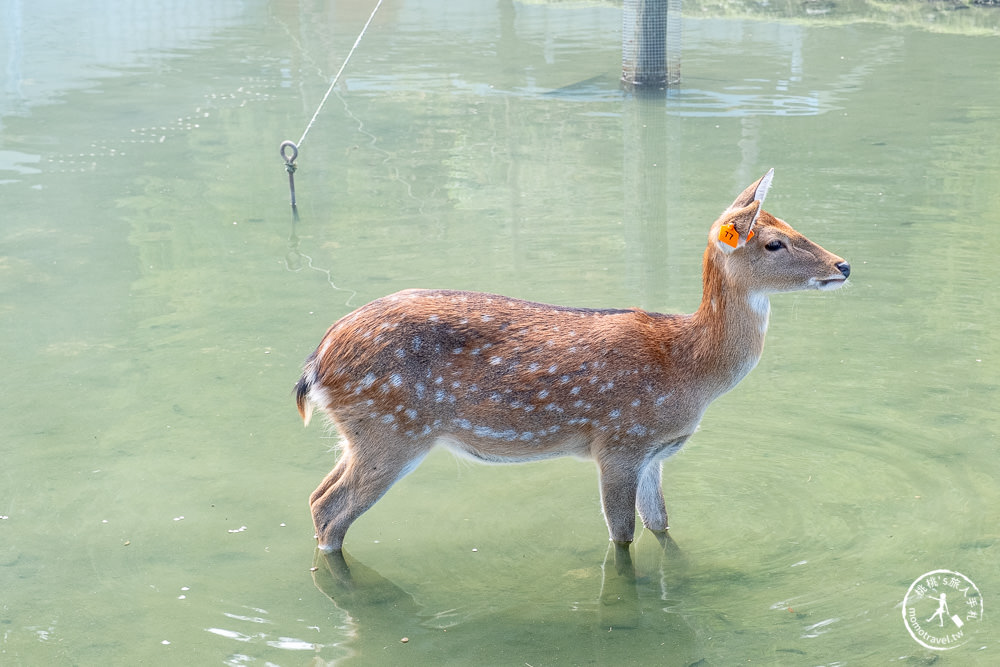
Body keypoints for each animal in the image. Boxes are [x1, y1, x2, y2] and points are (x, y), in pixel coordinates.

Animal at [292, 171, 848, 552]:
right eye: (774, 242)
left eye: (792, 226)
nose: (843, 265)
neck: (690, 369)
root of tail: (315, 366)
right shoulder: (620, 441)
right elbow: (622, 537)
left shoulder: (655, 453)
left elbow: (662, 524)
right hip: (393, 428)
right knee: (331, 509)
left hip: (362, 432)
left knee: (317, 495)